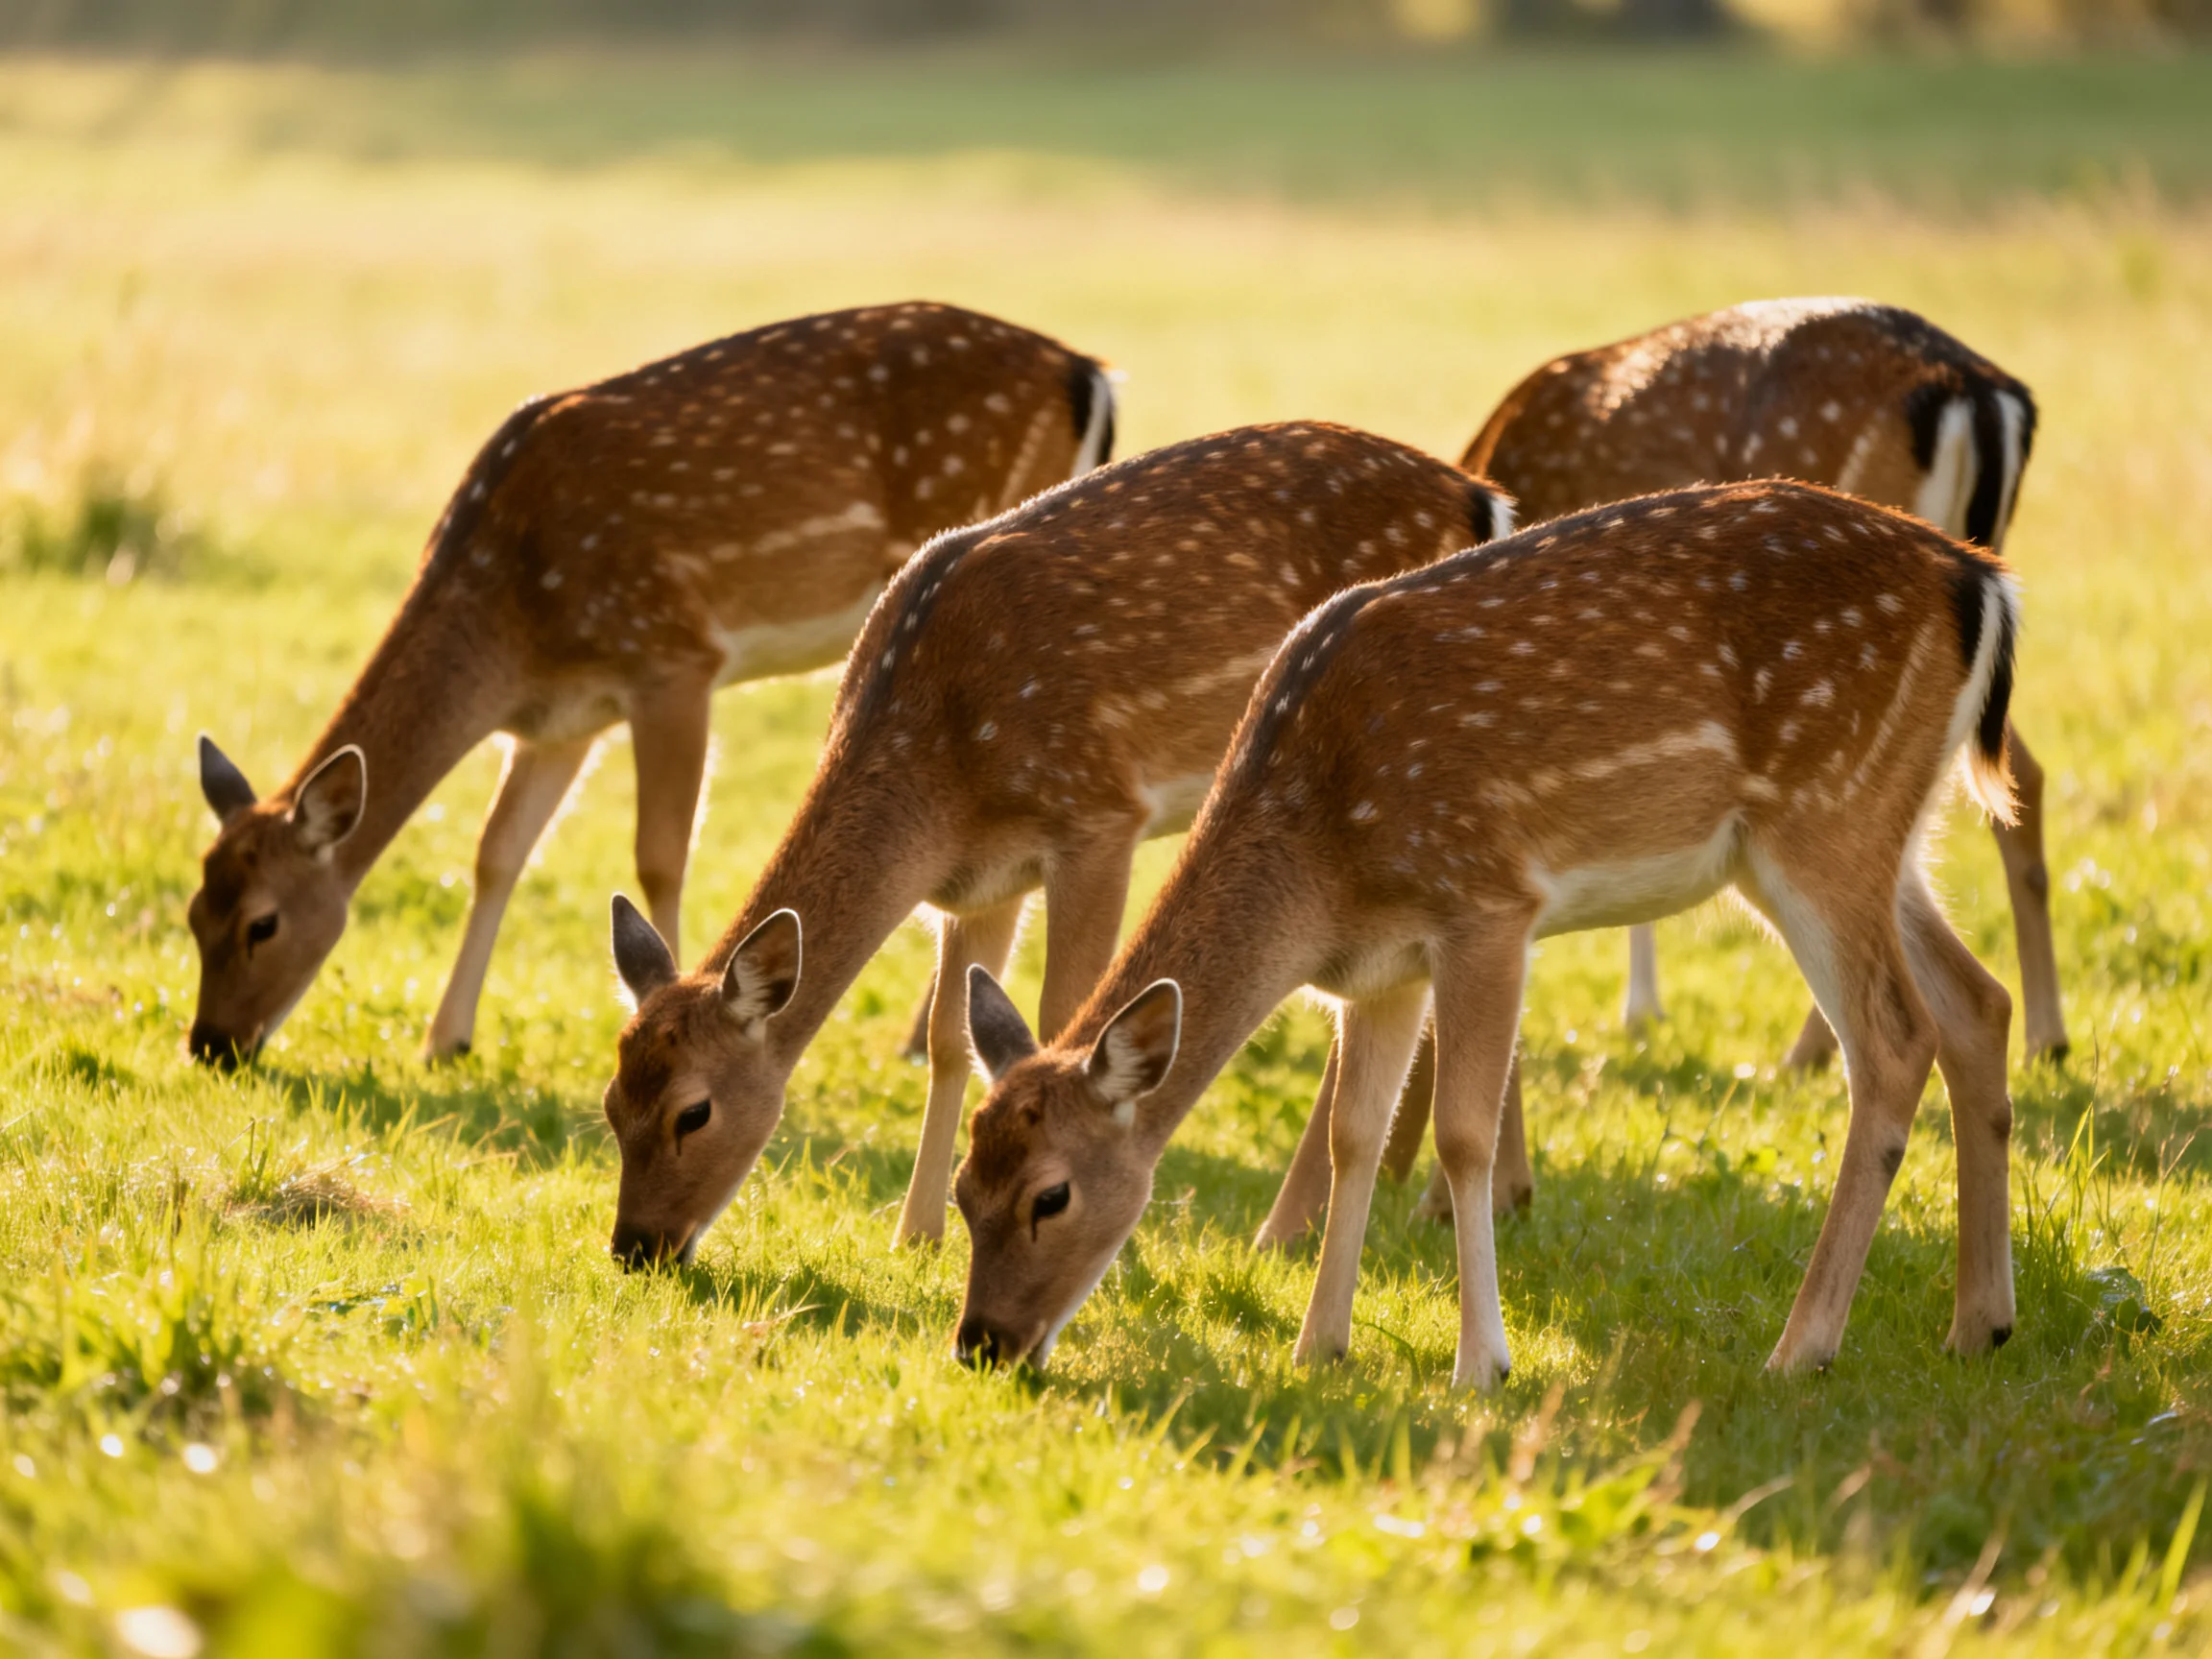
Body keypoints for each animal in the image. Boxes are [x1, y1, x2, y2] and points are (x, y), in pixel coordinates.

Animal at [185, 302, 1113, 1069]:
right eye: (193, 916)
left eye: (262, 923)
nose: (212, 1046)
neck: (514, 611)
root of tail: (1088, 371)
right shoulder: (564, 715)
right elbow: (498, 850)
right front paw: (446, 1040)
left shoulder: (670, 654)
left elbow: (660, 854)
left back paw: (924, 1043)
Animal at [596, 422, 1513, 1264]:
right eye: (609, 1105)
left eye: (692, 1111)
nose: (636, 1246)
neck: (942, 757)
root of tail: (1482, 496)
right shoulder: (982, 875)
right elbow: (949, 1037)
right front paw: (917, 1233)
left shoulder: (1099, 812)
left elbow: (1060, 1014)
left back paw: (1300, 1229)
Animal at [953, 479, 2021, 1390]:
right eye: (963, 1192)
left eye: (1050, 1195)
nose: (982, 1345)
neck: (1322, 863)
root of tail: (1981, 580)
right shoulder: (1381, 969)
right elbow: (1354, 1133)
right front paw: (1318, 1347)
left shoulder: (1488, 902)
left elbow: (1461, 1135)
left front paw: (1482, 1365)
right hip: (1875, 835)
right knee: (1978, 1000)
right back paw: (1980, 1324)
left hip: (1824, 814)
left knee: (1895, 1040)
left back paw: (1802, 1347)